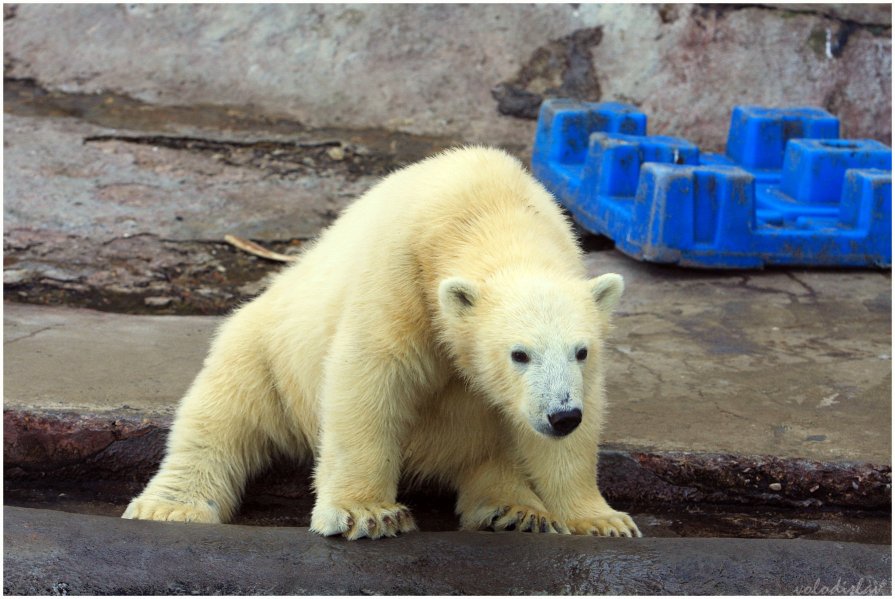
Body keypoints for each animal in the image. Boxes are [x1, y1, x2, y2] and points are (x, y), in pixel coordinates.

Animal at [122, 145, 640, 540]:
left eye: (581, 350)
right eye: (519, 354)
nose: (561, 415)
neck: (486, 209)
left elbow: (575, 426)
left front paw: (602, 520)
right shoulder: (401, 274)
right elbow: (370, 377)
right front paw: (367, 514)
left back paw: (513, 511)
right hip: (264, 349)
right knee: (221, 417)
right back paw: (171, 507)